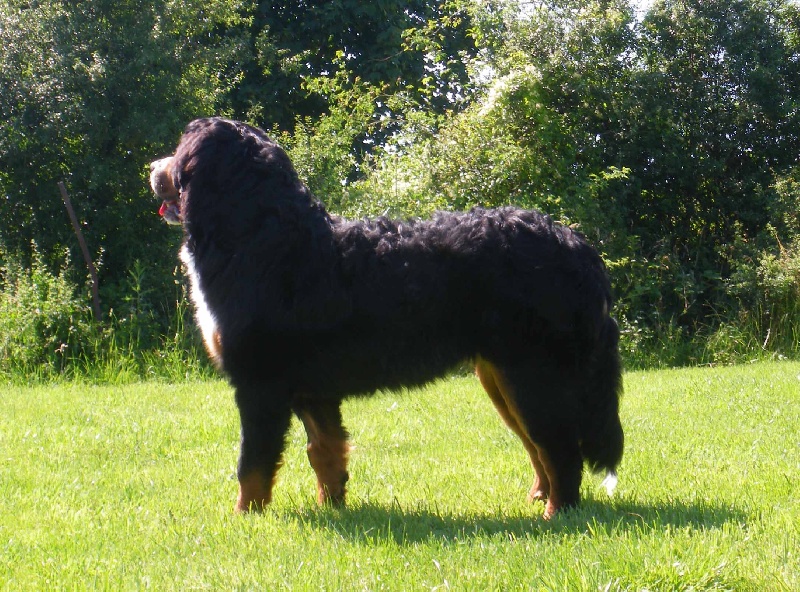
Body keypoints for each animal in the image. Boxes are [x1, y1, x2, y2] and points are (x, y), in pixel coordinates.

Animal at [150, 117, 624, 519]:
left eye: (178, 151)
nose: (152, 167)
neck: (257, 235)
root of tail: (575, 243)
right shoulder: (313, 391)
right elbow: (325, 452)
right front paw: (332, 506)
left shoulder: (260, 384)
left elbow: (252, 464)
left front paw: (244, 518)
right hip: (502, 379)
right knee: (539, 447)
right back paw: (539, 497)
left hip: (532, 376)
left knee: (560, 449)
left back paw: (555, 514)